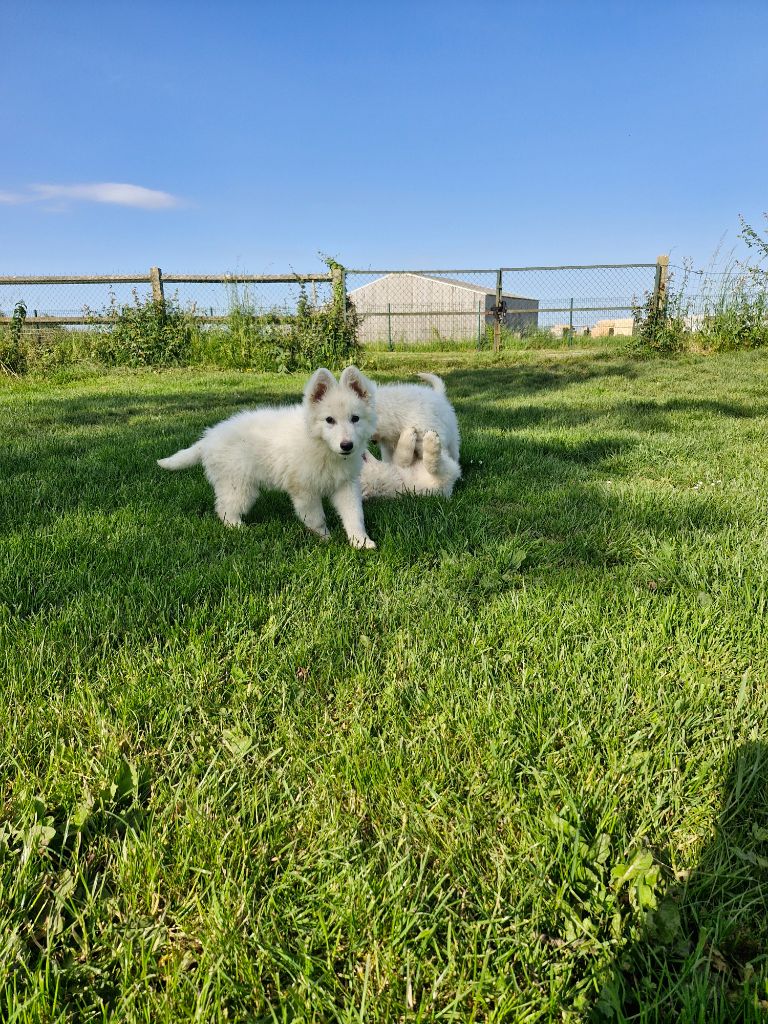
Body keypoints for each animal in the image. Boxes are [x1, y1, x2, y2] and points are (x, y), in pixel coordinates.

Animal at [156, 364, 378, 548]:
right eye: (329, 420)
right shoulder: (304, 490)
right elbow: (316, 518)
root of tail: (208, 438)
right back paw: (238, 528)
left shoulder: (346, 484)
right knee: (225, 509)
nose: (346, 445)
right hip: (238, 485)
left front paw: (360, 541)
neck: (322, 446)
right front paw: (325, 538)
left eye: (355, 419)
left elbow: (354, 515)